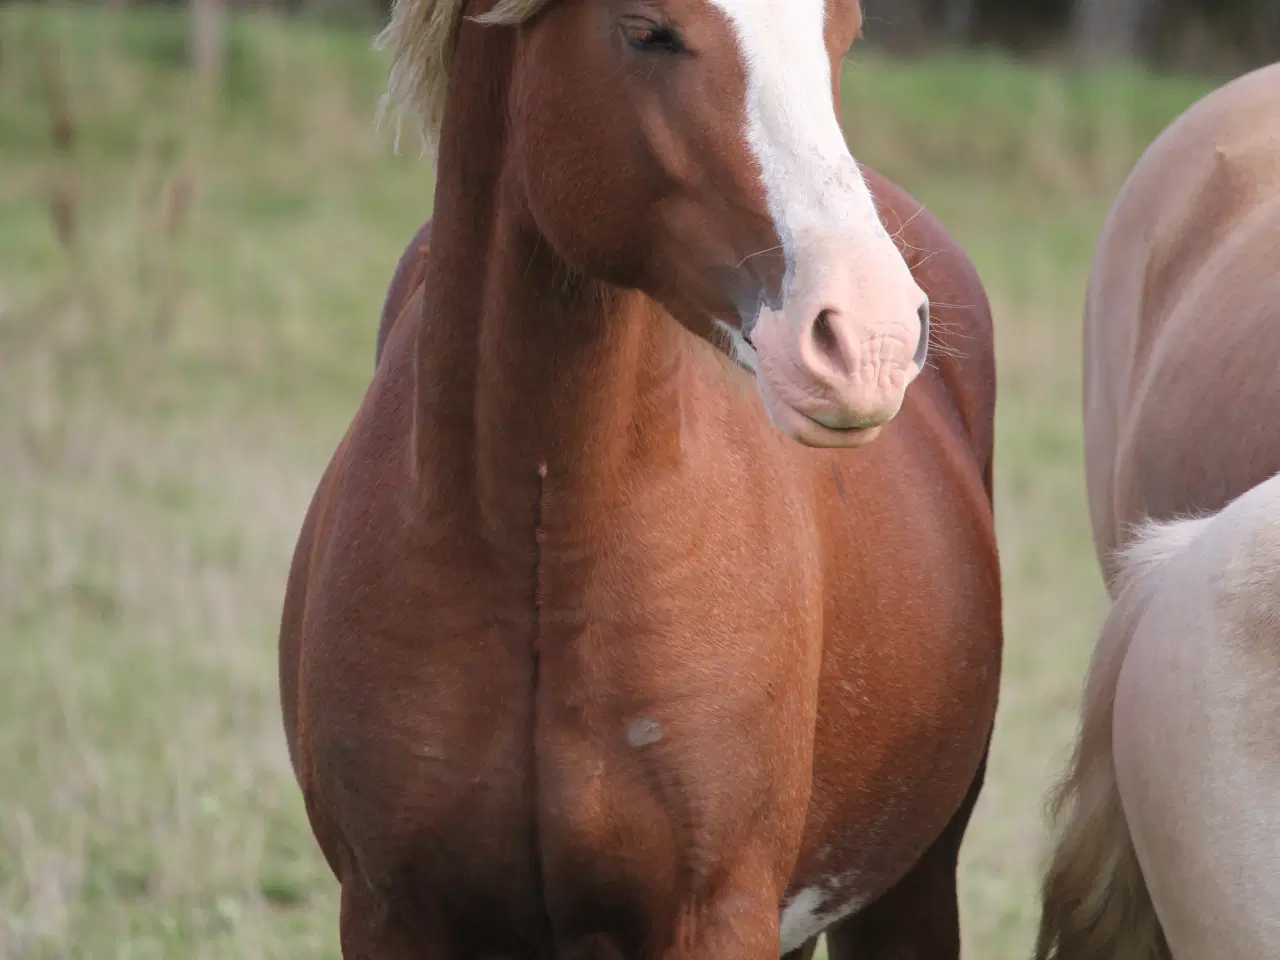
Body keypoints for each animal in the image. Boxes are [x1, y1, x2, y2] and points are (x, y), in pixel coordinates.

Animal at [277, 3, 998, 957]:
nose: (870, 339)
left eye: (842, 32)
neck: (547, 538)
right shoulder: (387, 908)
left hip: (911, 889)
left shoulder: (717, 912)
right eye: (648, 31)